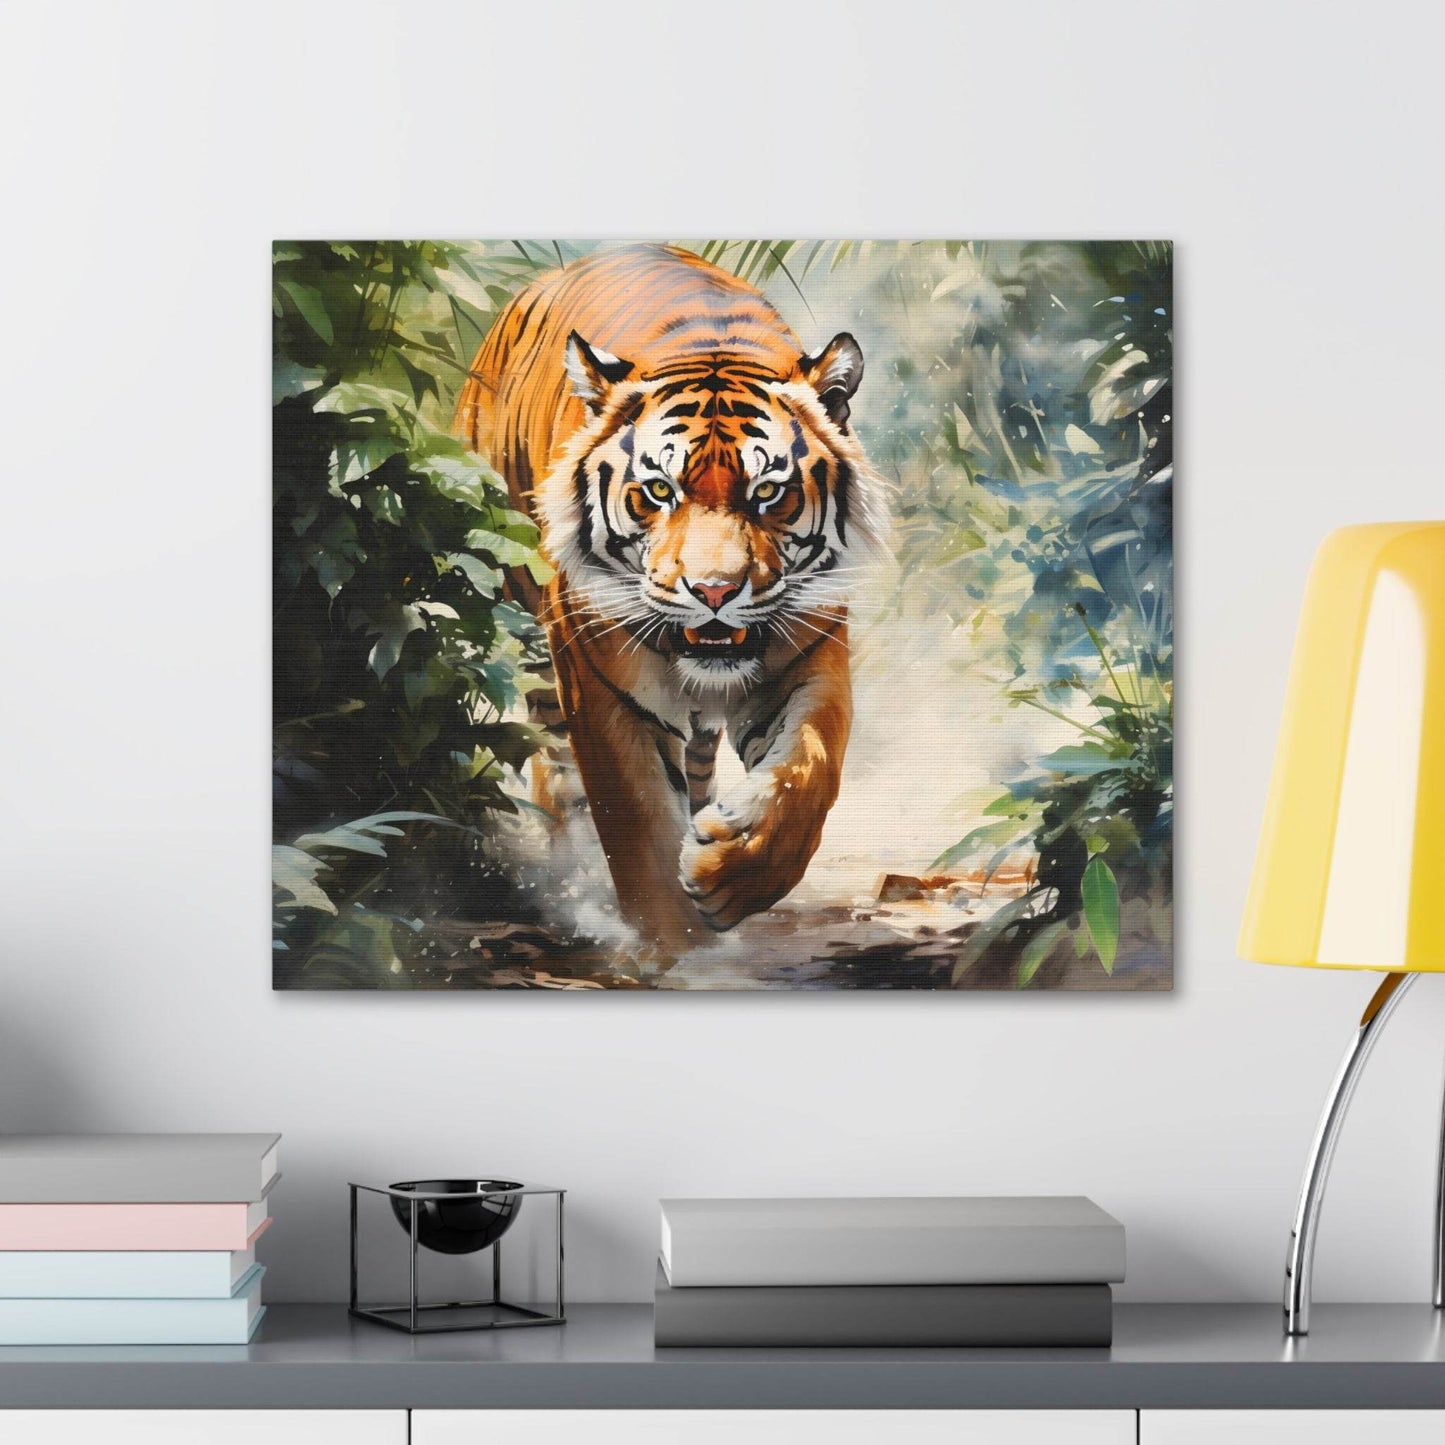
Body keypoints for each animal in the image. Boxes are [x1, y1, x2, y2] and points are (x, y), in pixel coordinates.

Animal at [455, 244, 885, 954]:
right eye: (659, 490)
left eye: (768, 492)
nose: (714, 591)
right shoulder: (600, 685)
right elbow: (636, 825)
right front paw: (674, 947)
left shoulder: (810, 655)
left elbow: (810, 770)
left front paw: (730, 871)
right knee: (556, 775)